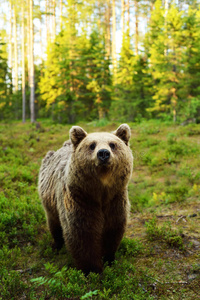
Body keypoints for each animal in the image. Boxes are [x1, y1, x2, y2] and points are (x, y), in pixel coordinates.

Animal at [38, 123, 134, 274]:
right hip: (49, 198)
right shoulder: (80, 199)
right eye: (92, 145)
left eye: (112, 144)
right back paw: (57, 245)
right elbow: (82, 234)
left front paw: (108, 259)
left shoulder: (115, 199)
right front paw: (91, 269)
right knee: (54, 222)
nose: (103, 153)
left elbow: (113, 229)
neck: (101, 192)